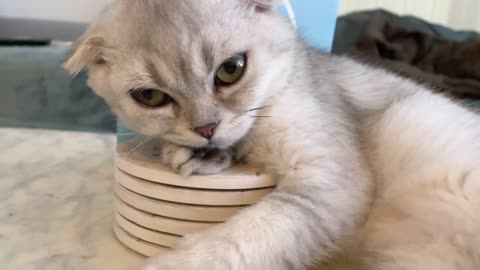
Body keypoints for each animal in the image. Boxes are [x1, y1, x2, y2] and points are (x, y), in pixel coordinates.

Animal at [63, 0, 480, 270]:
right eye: (150, 97)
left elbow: (243, 238)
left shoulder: (333, 182)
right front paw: (197, 154)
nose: (205, 128)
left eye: (231, 69)